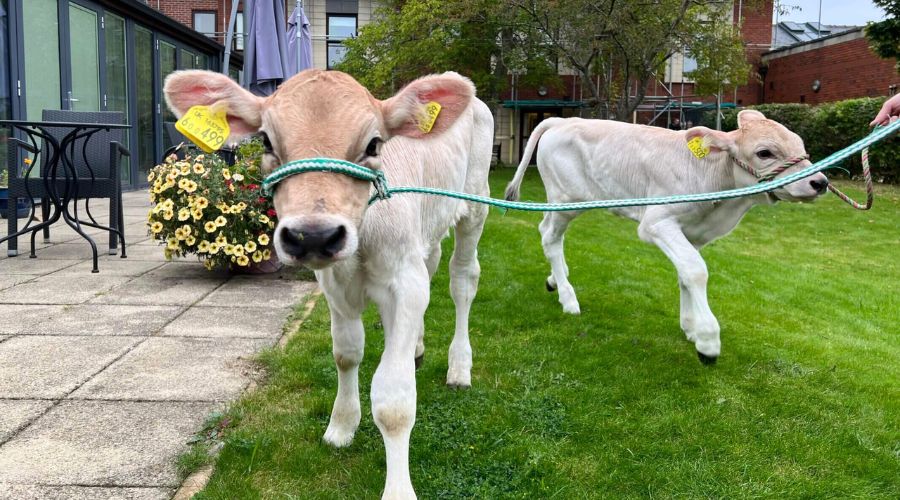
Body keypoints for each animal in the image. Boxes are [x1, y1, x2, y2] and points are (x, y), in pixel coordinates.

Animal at [502, 111, 828, 362]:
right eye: (764, 153)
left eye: (800, 144)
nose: (820, 182)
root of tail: (562, 119)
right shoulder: (657, 223)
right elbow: (696, 271)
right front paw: (707, 339)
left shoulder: (693, 235)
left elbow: (685, 272)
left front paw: (690, 327)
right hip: (566, 199)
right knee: (550, 237)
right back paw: (568, 297)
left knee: (545, 230)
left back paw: (556, 281)